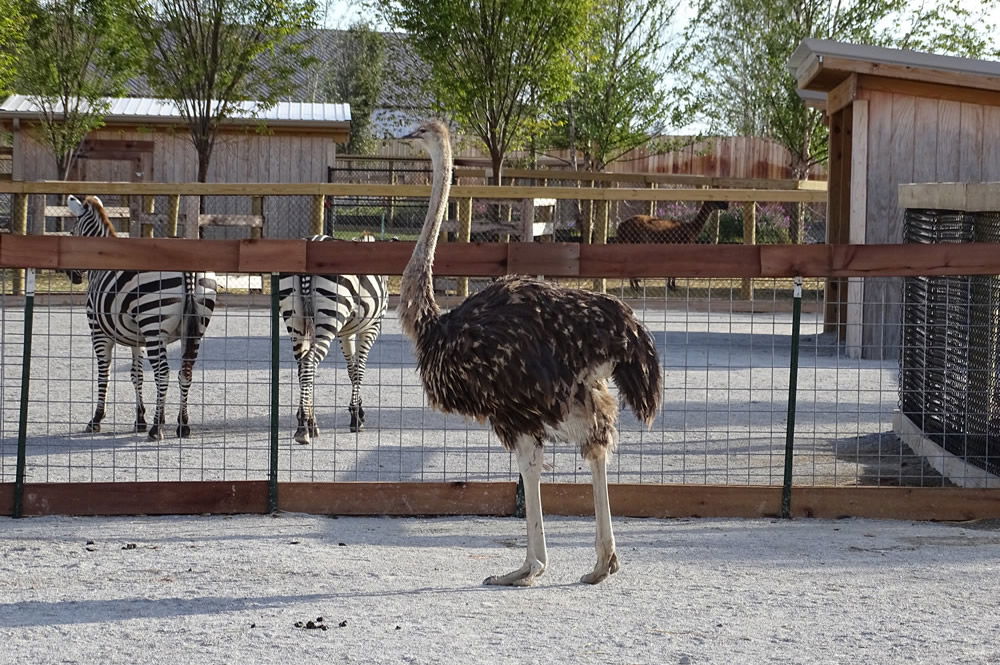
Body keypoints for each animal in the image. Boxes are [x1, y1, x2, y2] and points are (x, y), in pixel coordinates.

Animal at [65, 193, 218, 440]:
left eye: (71, 233)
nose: (72, 276)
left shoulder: (98, 331)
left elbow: (104, 372)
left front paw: (96, 419)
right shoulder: (137, 338)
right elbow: (136, 375)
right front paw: (144, 419)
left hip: (153, 324)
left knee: (163, 372)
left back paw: (156, 431)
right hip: (194, 328)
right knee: (185, 372)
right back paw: (182, 425)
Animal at [282, 233, 390, 440]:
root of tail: (314, 240)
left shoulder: (345, 334)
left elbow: (352, 369)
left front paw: (358, 411)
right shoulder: (371, 328)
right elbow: (360, 369)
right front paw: (356, 417)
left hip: (296, 323)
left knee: (302, 367)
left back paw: (309, 421)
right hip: (330, 319)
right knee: (309, 363)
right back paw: (303, 426)